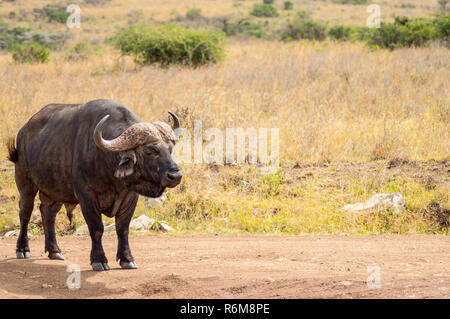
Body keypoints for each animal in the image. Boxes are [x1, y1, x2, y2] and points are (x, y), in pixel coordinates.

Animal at [6, 99, 182, 272]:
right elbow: (97, 228)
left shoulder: (131, 197)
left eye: (170, 149)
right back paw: (22, 249)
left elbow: (123, 229)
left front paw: (127, 259)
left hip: (56, 191)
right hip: (26, 184)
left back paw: (54, 251)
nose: (176, 176)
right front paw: (99, 260)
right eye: (150, 151)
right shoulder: (87, 197)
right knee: (25, 213)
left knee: (48, 213)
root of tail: (23, 131)